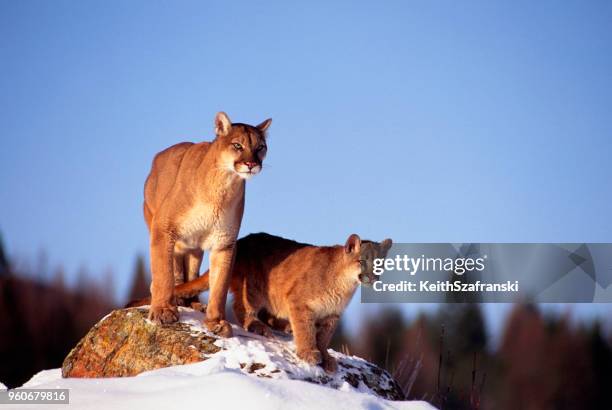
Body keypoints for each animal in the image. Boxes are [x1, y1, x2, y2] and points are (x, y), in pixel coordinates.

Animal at [128, 234, 392, 372]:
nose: (373, 277)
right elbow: (306, 331)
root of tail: (242, 241)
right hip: (254, 288)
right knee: (241, 309)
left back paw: (280, 326)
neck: (344, 285)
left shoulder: (331, 317)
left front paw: (325, 357)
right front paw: (309, 353)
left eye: (380, 262)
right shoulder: (300, 304)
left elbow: (324, 338)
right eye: (362, 261)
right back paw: (260, 327)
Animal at [145, 111, 272, 336]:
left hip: (195, 247)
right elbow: (163, 272)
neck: (223, 187)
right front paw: (163, 310)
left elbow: (220, 285)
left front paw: (216, 321)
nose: (251, 164)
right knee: (175, 270)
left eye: (260, 147)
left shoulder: (224, 241)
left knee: (191, 272)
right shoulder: (163, 227)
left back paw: (193, 303)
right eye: (237, 145)